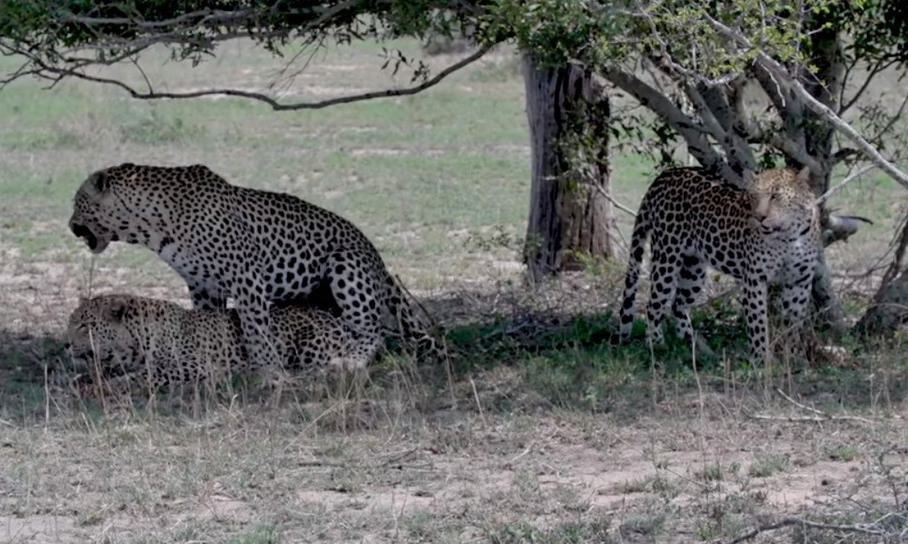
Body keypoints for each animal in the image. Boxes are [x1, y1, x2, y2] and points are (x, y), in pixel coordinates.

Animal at [63, 294, 368, 392]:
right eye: (71, 321)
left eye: (84, 326)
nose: (65, 345)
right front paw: (81, 380)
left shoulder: (193, 365)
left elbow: (146, 375)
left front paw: (107, 386)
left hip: (307, 347)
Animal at [67, 162, 444, 366]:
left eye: (77, 202)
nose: (70, 225)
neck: (151, 225)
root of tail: (377, 258)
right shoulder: (203, 285)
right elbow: (211, 325)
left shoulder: (246, 279)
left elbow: (256, 331)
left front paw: (268, 371)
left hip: (345, 267)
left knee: (372, 330)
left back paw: (349, 362)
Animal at [616, 167, 824, 362]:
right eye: (753, 197)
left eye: (776, 196)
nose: (759, 217)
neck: (788, 236)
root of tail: (665, 174)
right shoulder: (755, 279)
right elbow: (757, 322)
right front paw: (761, 359)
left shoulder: (800, 281)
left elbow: (793, 321)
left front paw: (792, 355)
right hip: (667, 259)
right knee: (653, 305)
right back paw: (657, 345)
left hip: (694, 270)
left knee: (678, 304)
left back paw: (694, 345)